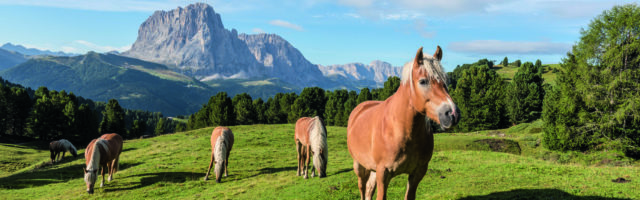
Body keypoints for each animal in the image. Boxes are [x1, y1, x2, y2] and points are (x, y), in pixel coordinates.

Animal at [348, 45, 458, 200]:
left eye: (446, 80)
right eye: (423, 81)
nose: (452, 114)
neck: (399, 130)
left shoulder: (417, 173)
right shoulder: (383, 173)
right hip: (360, 166)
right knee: (363, 189)